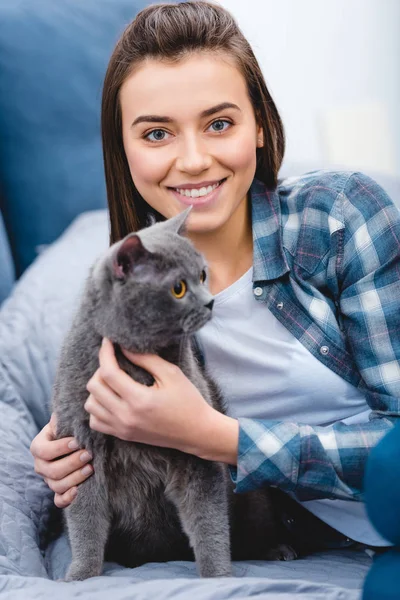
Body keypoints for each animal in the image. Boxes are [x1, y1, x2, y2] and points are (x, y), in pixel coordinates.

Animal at [51, 207, 296, 580]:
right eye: (178, 288)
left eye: (202, 275)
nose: (210, 302)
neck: (135, 367)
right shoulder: (80, 447)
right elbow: (85, 518)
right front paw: (81, 575)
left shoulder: (197, 456)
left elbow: (207, 519)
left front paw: (217, 576)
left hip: (252, 496)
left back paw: (279, 551)